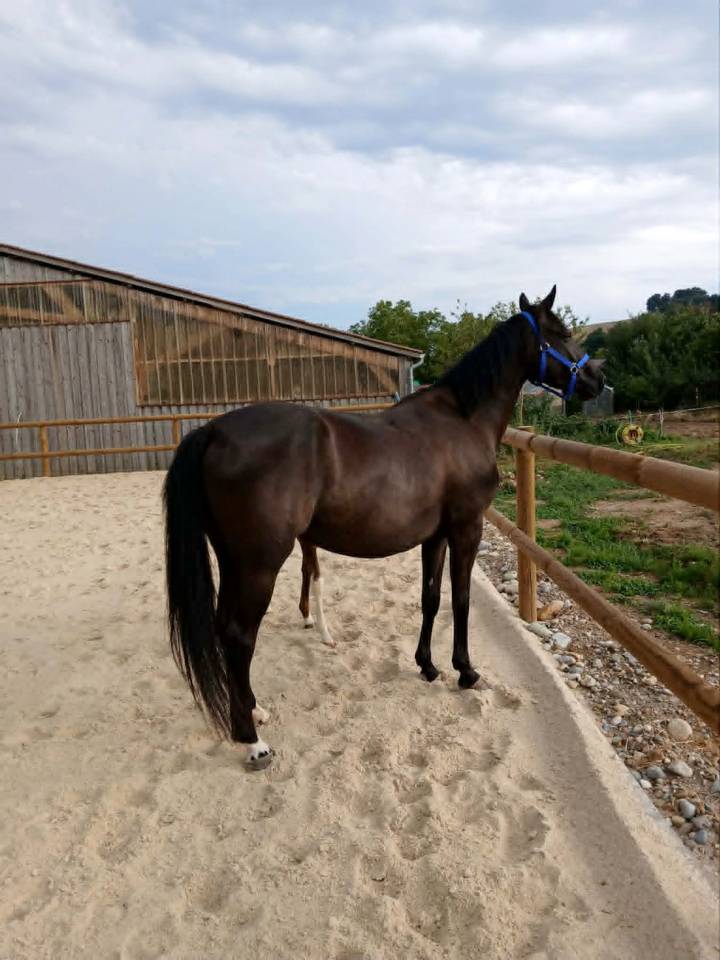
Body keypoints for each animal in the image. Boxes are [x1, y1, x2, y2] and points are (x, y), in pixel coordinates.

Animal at [163, 287, 604, 768]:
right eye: (563, 332)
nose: (598, 380)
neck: (463, 420)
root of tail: (212, 432)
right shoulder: (466, 529)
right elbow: (461, 599)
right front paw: (466, 671)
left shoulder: (435, 536)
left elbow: (431, 599)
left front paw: (427, 665)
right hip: (259, 563)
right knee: (240, 636)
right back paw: (252, 740)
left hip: (232, 559)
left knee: (225, 630)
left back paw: (254, 710)